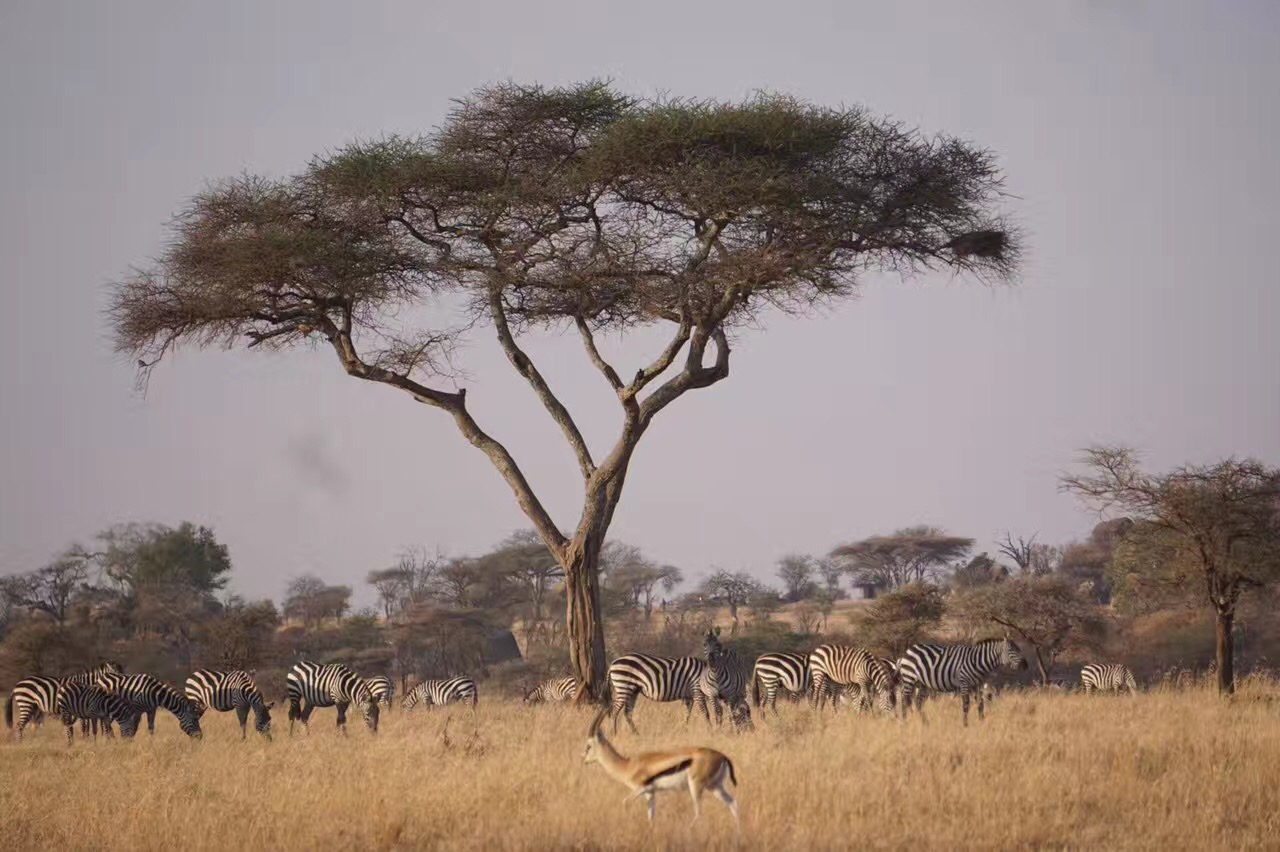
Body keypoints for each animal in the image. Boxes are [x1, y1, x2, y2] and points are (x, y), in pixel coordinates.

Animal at [901, 637, 1029, 721]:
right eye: (1011, 651)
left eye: (1018, 649)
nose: (1025, 665)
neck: (977, 662)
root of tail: (909, 649)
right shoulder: (964, 682)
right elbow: (966, 704)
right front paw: (965, 724)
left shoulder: (977, 684)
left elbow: (980, 704)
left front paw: (981, 721)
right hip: (909, 678)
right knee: (904, 700)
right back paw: (905, 722)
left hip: (922, 683)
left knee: (918, 702)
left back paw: (924, 723)